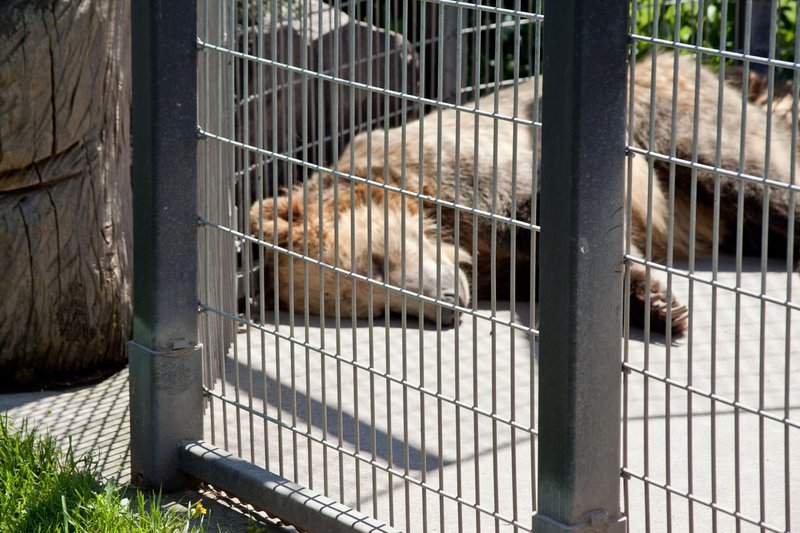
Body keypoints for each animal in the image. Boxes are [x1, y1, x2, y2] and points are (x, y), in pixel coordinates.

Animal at [250, 55, 800, 336]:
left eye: (377, 261)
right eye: (376, 309)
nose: (448, 305)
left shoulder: (480, 170)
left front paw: (663, 306)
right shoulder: (497, 265)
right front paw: (659, 306)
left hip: (668, 114)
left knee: (746, 176)